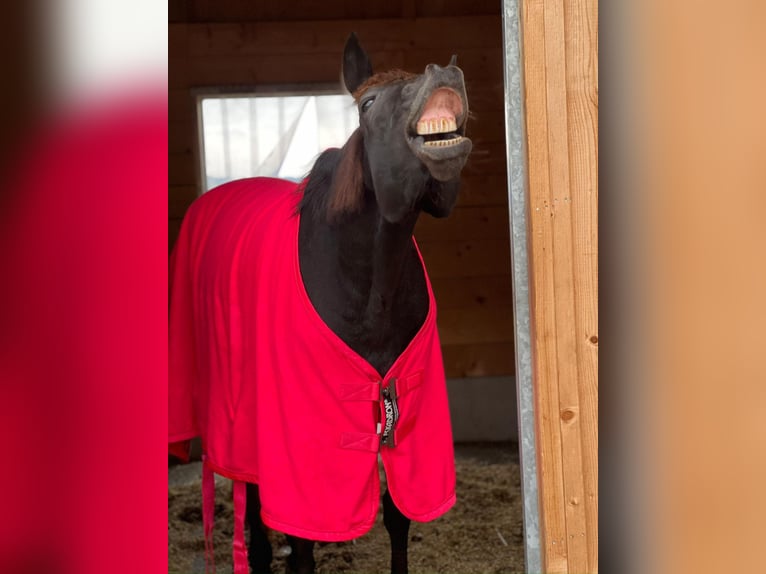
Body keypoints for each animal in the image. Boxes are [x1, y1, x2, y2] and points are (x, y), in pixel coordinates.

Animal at [168, 33, 472, 574]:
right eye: (367, 104)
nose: (444, 72)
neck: (367, 287)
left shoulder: (403, 421)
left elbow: (397, 516)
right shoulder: (302, 446)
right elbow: (303, 538)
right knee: (250, 494)